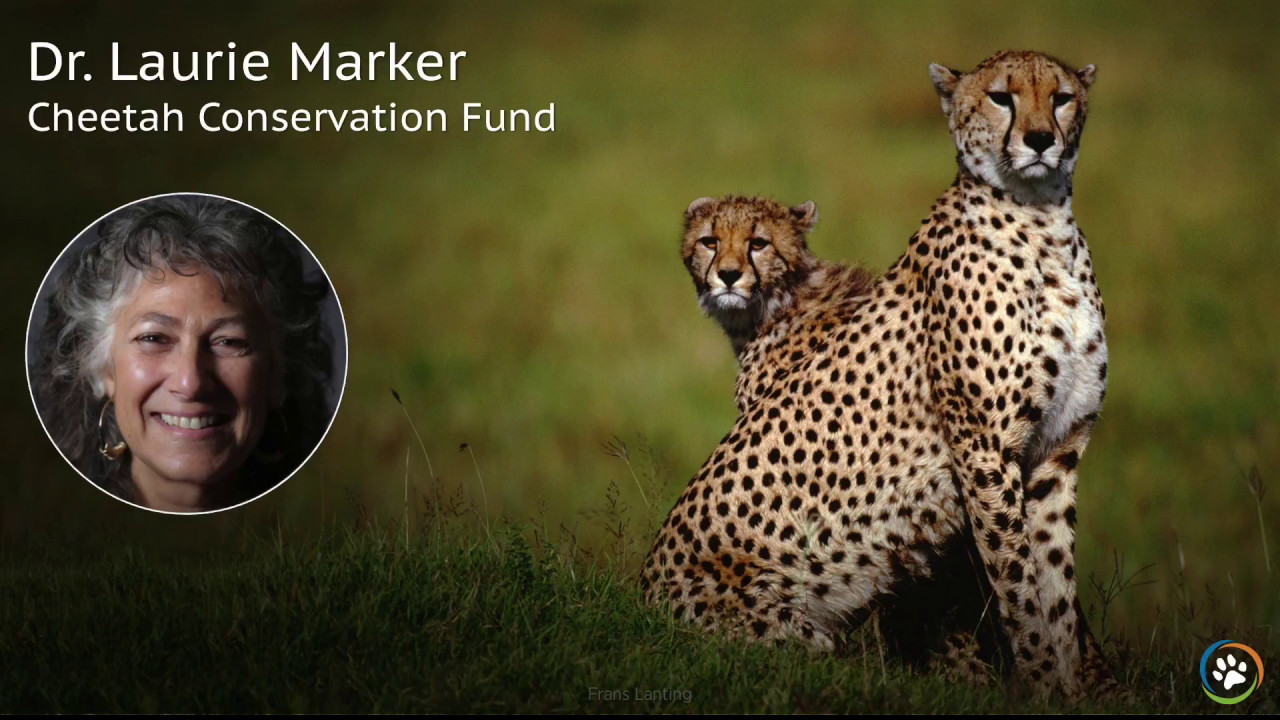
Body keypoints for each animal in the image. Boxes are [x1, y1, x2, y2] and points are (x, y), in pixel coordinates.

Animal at [641, 50, 1114, 698]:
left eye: (1062, 98)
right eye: (1001, 97)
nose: (1041, 139)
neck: (1044, 224)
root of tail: (641, 590)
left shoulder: (1055, 451)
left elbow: (1051, 586)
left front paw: (1061, 688)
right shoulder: (988, 451)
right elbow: (1021, 582)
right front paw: (1046, 686)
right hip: (792, 635)